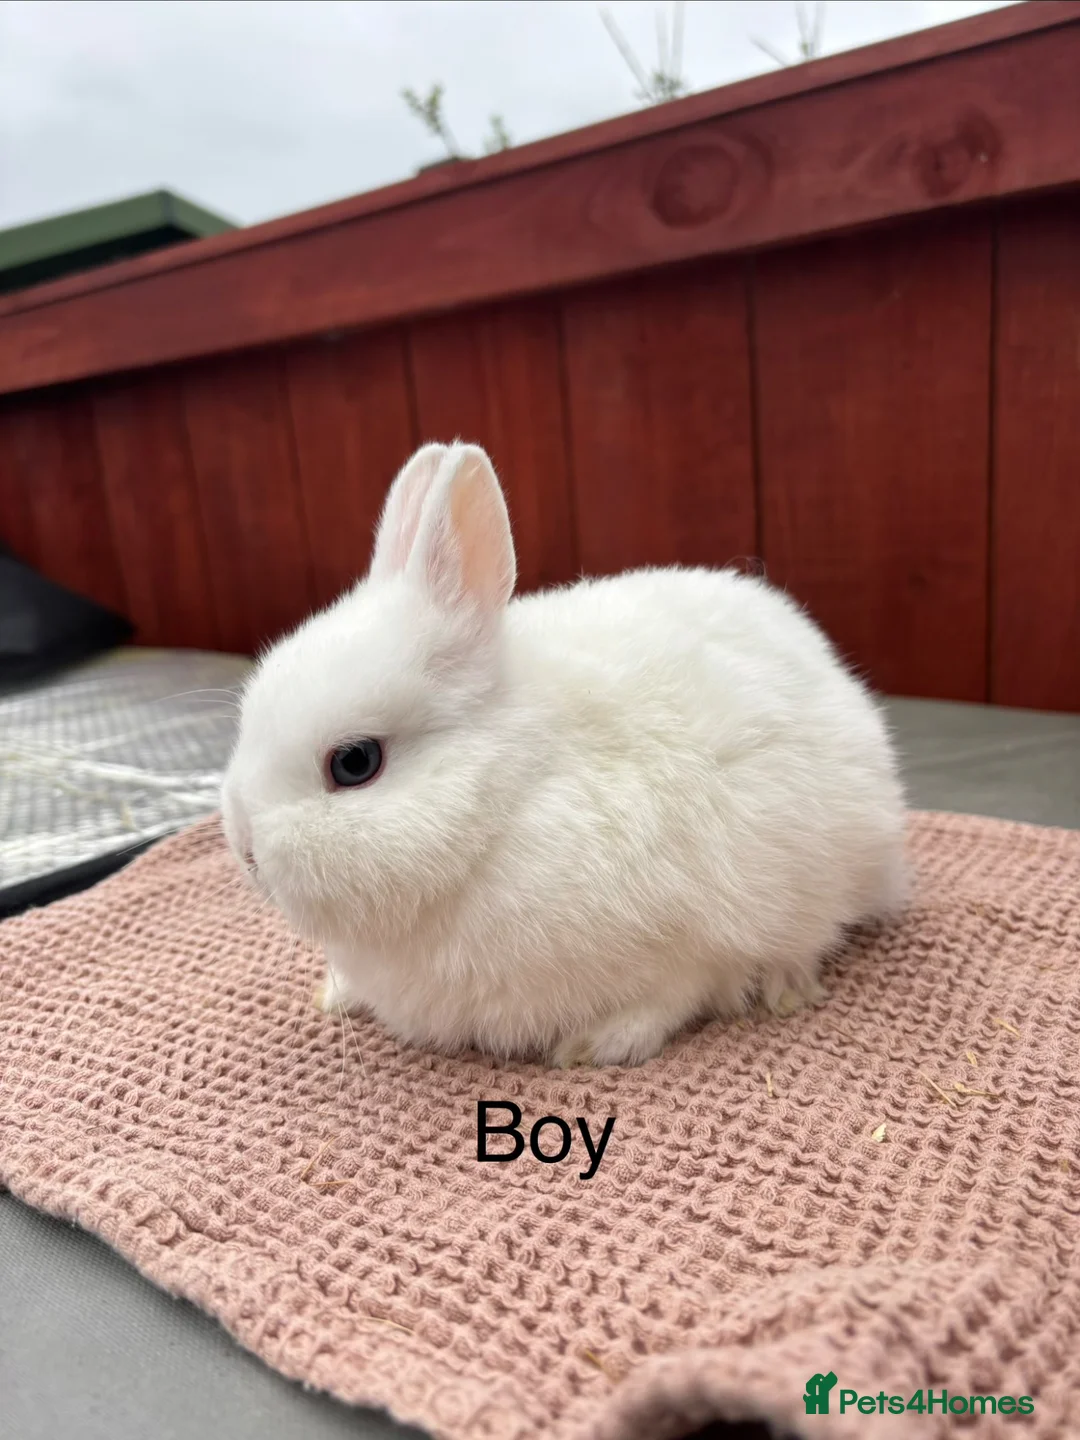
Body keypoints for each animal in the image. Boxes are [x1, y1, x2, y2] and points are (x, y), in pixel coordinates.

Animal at [221, 441, 907, 1069]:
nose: (247, 852)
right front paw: (336, 994)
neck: (503, 802)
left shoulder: (689, 939)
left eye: (355, 762)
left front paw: (595, 1044)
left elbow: (673, 995)